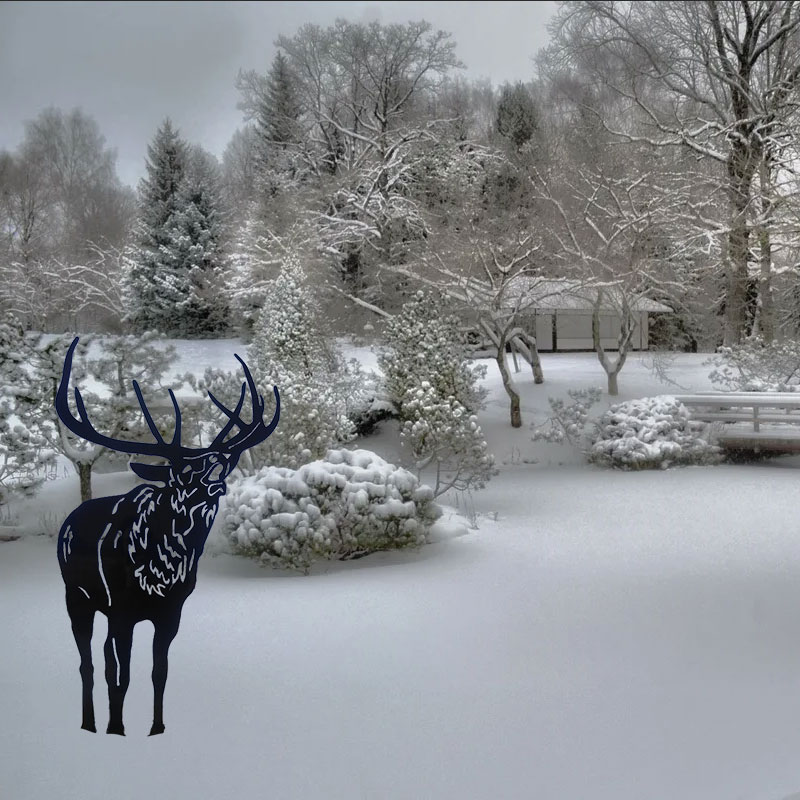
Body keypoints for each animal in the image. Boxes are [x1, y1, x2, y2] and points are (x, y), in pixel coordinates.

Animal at [55, 336, 279, 736]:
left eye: (217, 466)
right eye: (182, 474)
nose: (216, 484)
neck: (161, 572)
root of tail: (69, 520)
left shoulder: (171, 612)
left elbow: (159, 672)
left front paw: (157, 728)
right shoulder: (122, 610)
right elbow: (124, 675)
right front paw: (118, 729)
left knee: (103, 657)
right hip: (77, 596)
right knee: (90, 662)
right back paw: (90, 724)